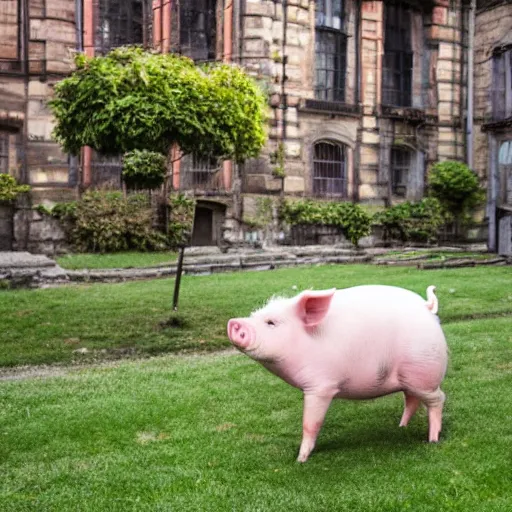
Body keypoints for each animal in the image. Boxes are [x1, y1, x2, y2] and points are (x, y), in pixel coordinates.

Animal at [228, 284, 448, 464]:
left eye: (271, 322)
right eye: (254, 316)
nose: (234, 322)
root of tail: (425, 306)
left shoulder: (321, 386)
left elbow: (310, 423)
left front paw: (300, 460)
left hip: (424, 371)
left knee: (438, 399)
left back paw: (432, 440)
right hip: (410, 378)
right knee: (411, 399)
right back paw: (401, 427)